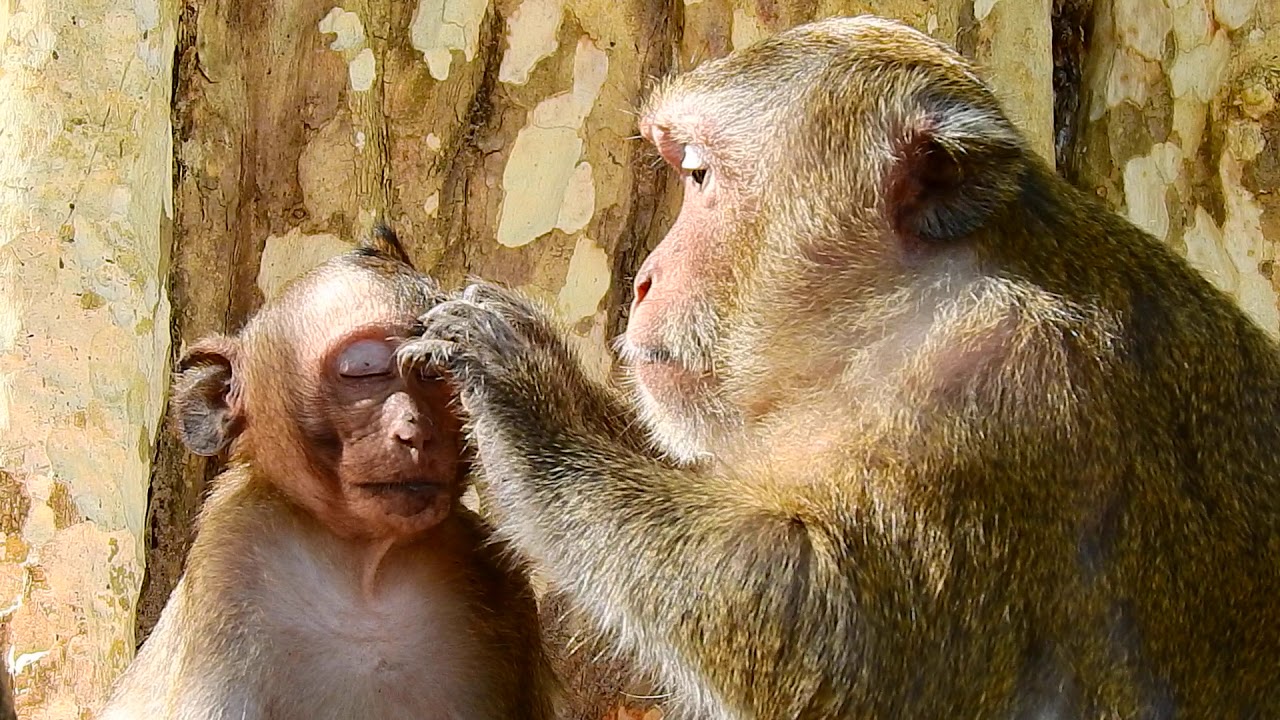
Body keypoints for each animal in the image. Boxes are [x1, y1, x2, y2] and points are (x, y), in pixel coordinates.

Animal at [99, 241, 558, 720]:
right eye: (364, 369)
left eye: (434, 373)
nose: (415, 432)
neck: (366, 575)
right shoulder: (233, 557)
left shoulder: (500, 582)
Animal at [394, 15, 1280, 720]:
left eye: (699, 174)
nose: (644, 278)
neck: (911, 313)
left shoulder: (1008, 395)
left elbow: (821, 635)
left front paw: (524, 391)